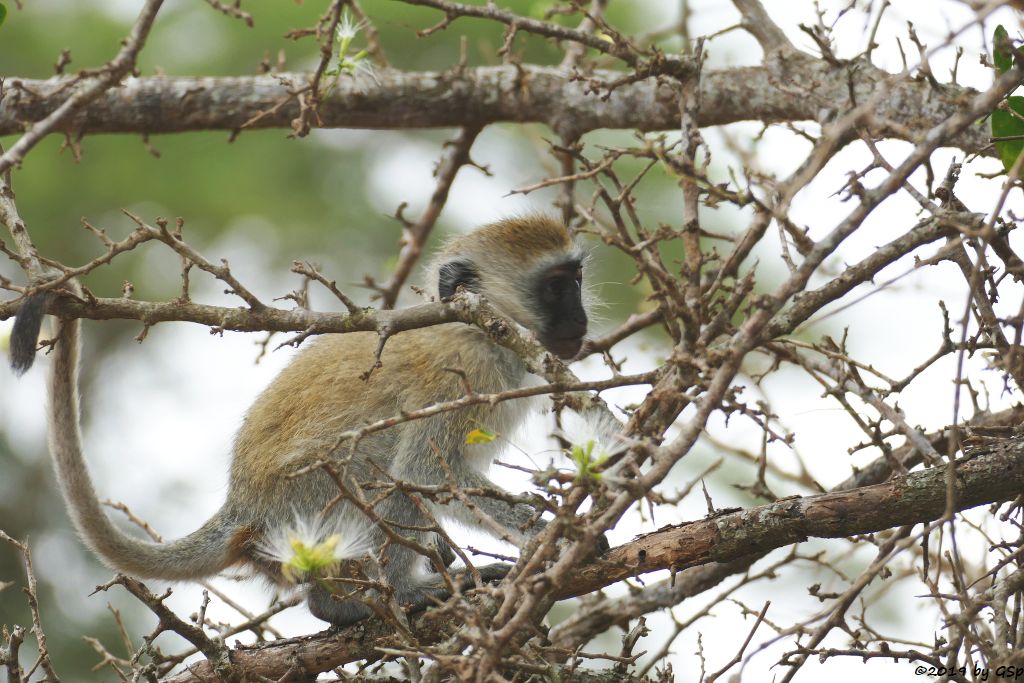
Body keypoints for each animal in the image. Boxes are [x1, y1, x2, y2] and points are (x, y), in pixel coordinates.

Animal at [9, 216, 593, 626]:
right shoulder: (458, 378)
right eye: (555, 285)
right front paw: (554, 535)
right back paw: (381, 598)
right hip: (306, 500)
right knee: (377, 471)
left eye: (577, 279)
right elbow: (425, 471)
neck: (479, 329)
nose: (582, 321)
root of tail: (245, 508)